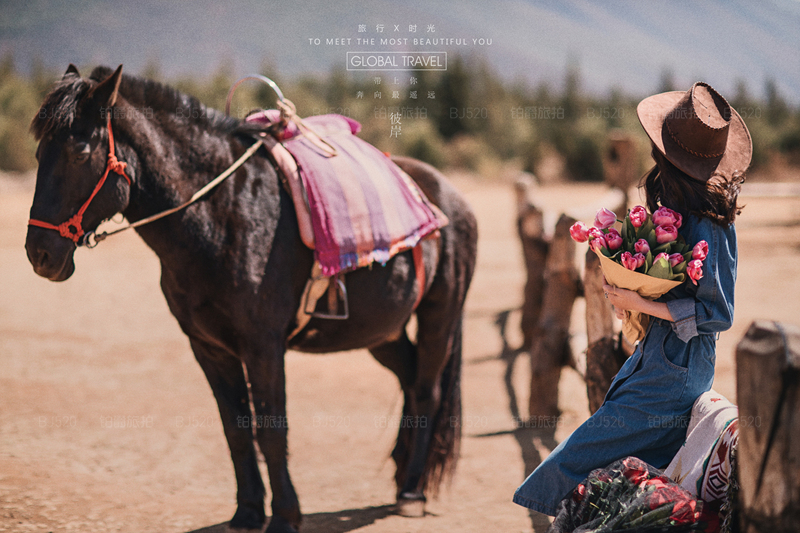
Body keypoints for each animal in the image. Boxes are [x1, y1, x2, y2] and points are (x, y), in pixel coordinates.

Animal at [23, 65, 476, 532]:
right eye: (40, 153)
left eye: (79, 153)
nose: (39, 253)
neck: (222, 215)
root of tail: (447, 196)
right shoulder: (208, 348)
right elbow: (236, 429)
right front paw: (248, 510)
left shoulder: (263, 347)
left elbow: (271, 429)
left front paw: (286, 515)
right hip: (382, 332)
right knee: (409, 380)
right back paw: (402, 472)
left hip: (440, 317)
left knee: (427, 391)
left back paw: (412, 491)